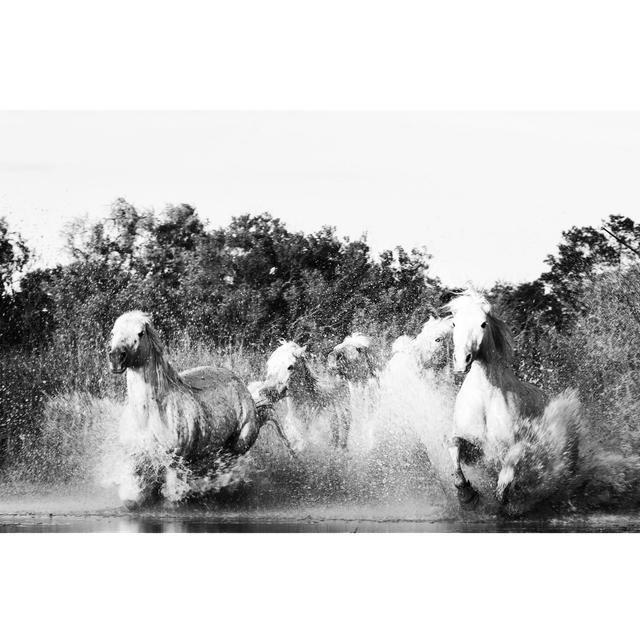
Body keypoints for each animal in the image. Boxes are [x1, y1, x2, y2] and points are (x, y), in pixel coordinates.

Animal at [109, 311, 262, 510]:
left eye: (140, 333)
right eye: (112, 333)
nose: (116, 357)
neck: (148, 417)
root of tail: (241, 384)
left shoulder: (175, 462)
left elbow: (172, 499)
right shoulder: (136, 460)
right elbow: (132, 499)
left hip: (238, 447)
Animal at [444, 290, 549, 509]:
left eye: (483, 324)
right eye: (454, 323)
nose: (462, 361)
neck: (485, 398)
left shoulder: (511, 446)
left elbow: (508, 468)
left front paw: (501, 496)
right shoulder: (473, 446)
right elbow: (454, 446)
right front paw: (467, 494)